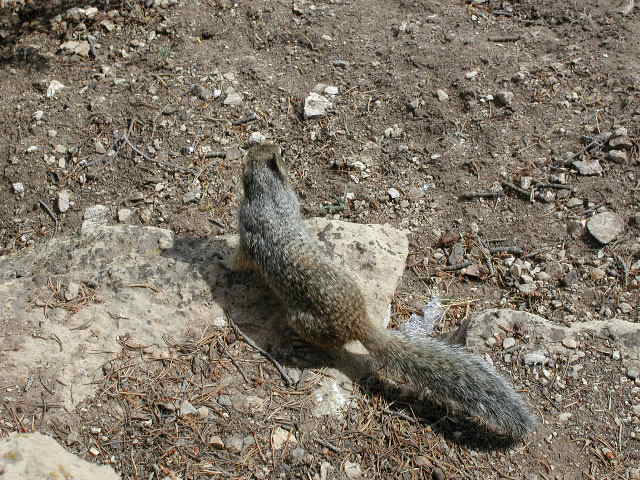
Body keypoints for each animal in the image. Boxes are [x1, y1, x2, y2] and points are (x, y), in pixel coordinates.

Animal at [232, 143, 536, 442]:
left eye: (249, 154)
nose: (246, 150)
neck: (271, 195)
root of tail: (359, 323)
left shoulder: (247, 230)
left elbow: (240, 259)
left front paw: (226, 261)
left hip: (301, 320)